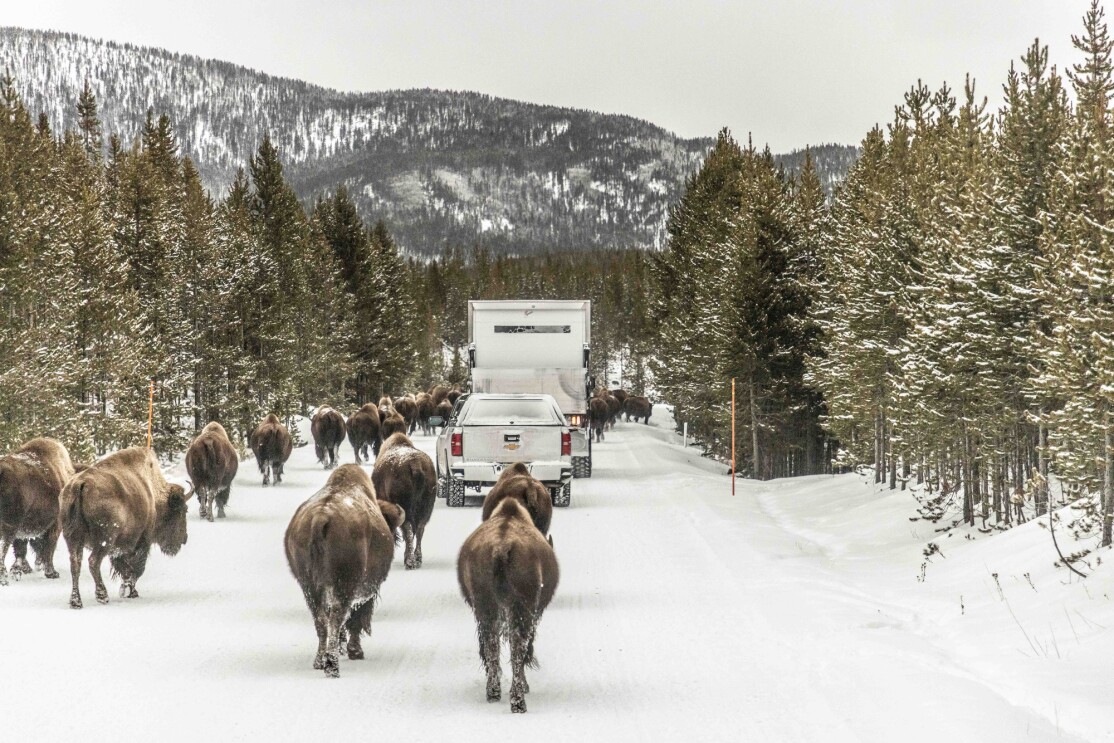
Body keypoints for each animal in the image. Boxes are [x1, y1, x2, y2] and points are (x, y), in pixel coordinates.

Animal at [0, 436, 76, 588]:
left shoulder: (22, 529)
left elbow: (21, 550)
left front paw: (20, 570)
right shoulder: (54, 526)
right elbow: (49, 548)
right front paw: (52, 573)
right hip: (8, 527)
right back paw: (4, 579)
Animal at [60, 447, 191, 610]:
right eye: (183, 510)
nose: (184, 538)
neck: (153, 494)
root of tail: (80, 484)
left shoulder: (120, 549)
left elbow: (125, 568)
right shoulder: (142, 542)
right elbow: (136, 568)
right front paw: (129, 591)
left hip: (72, 538)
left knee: (75, 564)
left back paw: (76, 601)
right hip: (104, 540)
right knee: (93, 562)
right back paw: (102, 596)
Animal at [282, 467, 405, 677]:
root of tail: (321, 517)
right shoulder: (366, 594)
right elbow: (356, 620)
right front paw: (355, 651)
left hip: (309, 586)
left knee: (321, 620)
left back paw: (319, 661)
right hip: (344, 586)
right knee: (337, 617)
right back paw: (332, 666)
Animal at [374, 429, 434, 570]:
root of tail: (415, 465)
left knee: (408, 530)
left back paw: (409, 561)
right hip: (425, 510)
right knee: (420, 530)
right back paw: (417, 559)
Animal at [456, 496, 557, 712]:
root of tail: (501, 547)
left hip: (486, 607)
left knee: (491, 645)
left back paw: (493, 692)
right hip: (522, 609)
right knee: (518, 647)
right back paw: (519, 699)